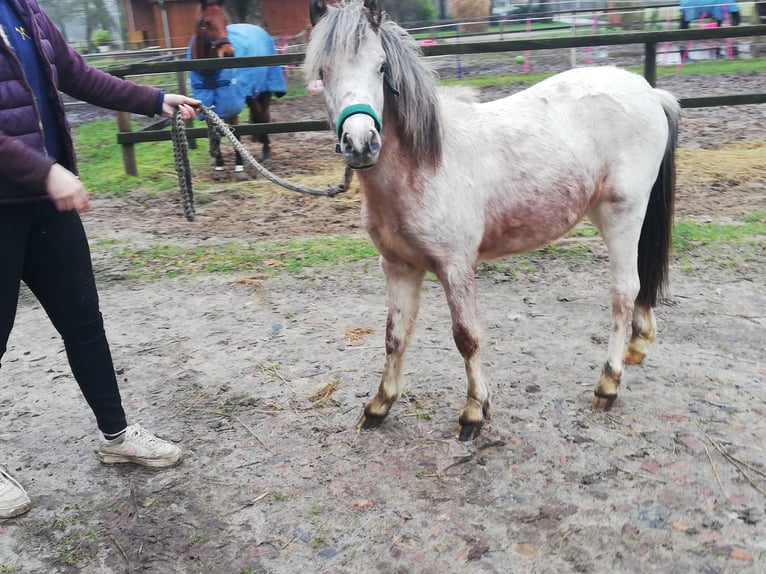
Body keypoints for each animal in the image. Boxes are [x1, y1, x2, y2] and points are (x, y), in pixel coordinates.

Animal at [190, 0, 288, 180]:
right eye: (206, 22)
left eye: (225, 21)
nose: (228, 52)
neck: (209, 72)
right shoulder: (210, 106)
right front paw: (219, 167)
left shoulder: (232, 105)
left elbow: (235, 133)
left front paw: (239, 168)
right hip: (250, 96)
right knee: (258, 114)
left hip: (264, 92)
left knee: (263, 116)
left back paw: (266, 150)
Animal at [306, 0, 684, 440]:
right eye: (322, 72)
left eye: (381, 67)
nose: (360, 143)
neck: (424, 165)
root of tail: (649, 92)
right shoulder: (398, 267)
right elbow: (395, 336)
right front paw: (380, 405)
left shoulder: (455, 267)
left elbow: (466, 337)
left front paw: (474, 411)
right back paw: (637, 346)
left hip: (621, 215)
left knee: (624, 293)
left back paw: (608, 383)